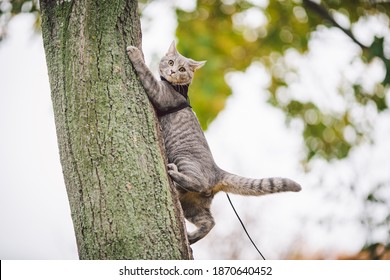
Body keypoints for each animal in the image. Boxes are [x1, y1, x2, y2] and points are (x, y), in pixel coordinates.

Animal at [126, 41, 300, 245]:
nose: (172, 71)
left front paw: (135, 53)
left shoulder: (159, 94)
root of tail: (218, 171)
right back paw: (191, 237)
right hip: (192, 205)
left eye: (182, 69)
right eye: (170, 62)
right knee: (209, 222)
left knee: (199, 183)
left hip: (184, 160)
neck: (176, 88)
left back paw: (175, 174)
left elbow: (145, 72)